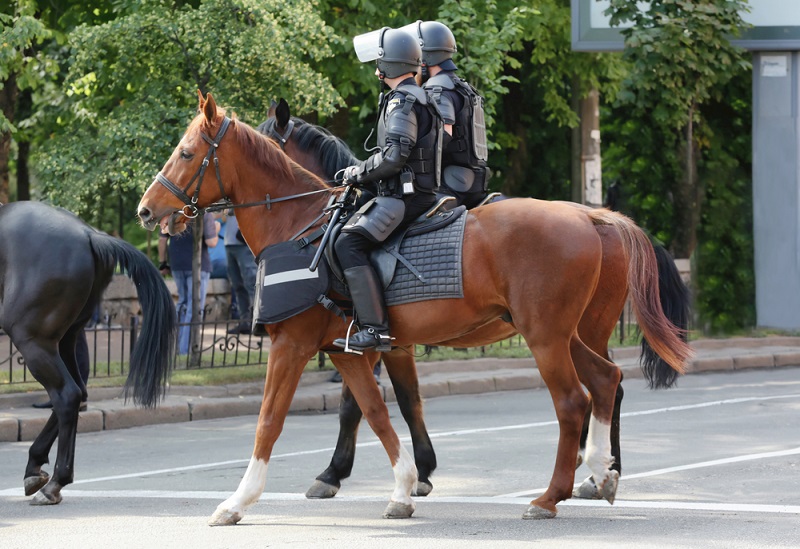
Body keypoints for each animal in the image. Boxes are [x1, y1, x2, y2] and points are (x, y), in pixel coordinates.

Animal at [0, 199, 178, 504]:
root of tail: (88, 234)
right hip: (65, 339)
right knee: (78, 391)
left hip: (34, 339)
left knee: (67, 395)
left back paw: (54, 482)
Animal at [136, 94, 688, 528]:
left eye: (186, 152)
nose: (145, 210)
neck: (302, 224)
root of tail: (593, 216)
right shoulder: (351, 351)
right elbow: (380, 411)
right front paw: (403, 486)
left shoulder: (293, 345)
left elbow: (271, 420)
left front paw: (237, 501)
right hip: (571, 334)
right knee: (607, 381)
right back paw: (601, 472)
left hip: (547, 337)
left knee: (574, 401)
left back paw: (553, 495)